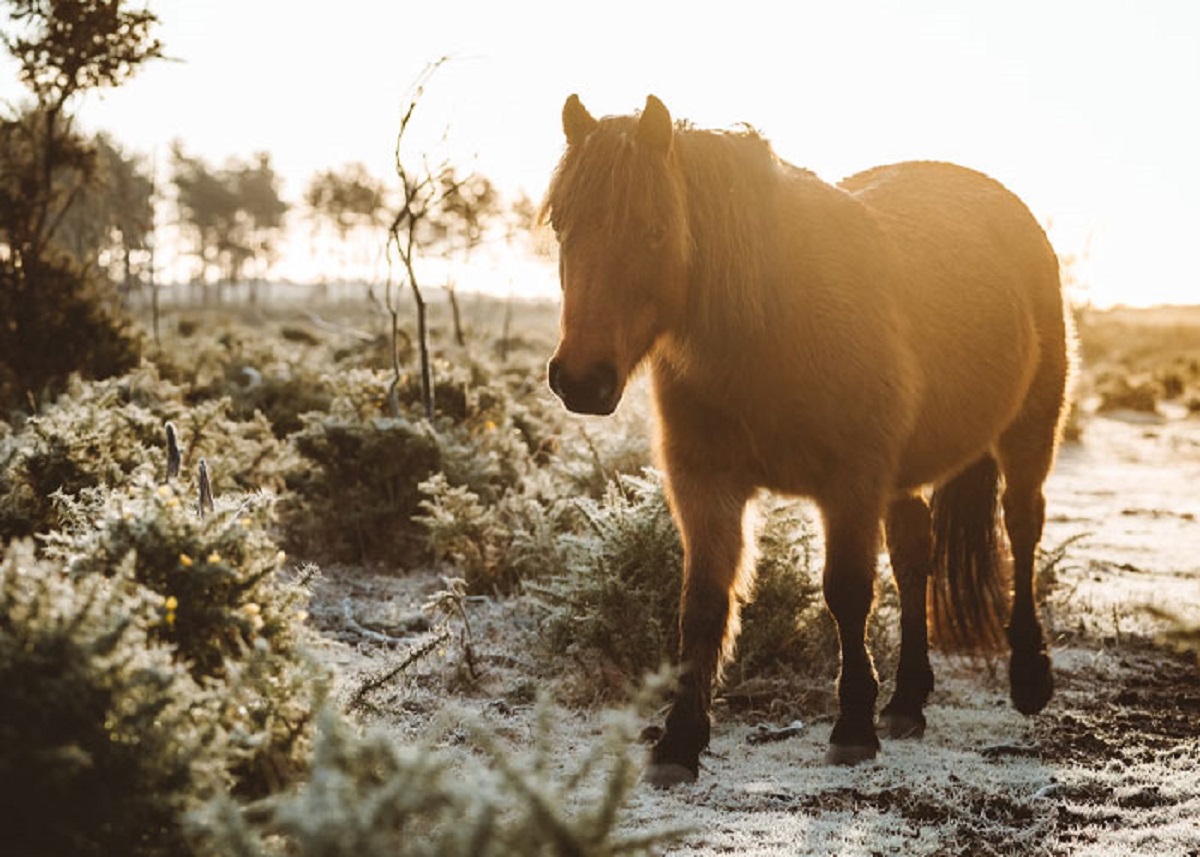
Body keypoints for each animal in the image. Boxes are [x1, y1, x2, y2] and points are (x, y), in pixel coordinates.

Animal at [542, 91, 1070, 782]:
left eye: (653, 229)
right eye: (562, 225)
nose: (581, 379)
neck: (773, 322)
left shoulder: (851, 485)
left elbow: (846, 593)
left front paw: (852, 727)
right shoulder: (705, 481)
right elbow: (703, 603)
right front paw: (680, 741)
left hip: (1029, 432)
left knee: (1022, 526)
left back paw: (1029, 678)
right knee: (915, 555)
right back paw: (908, 701)